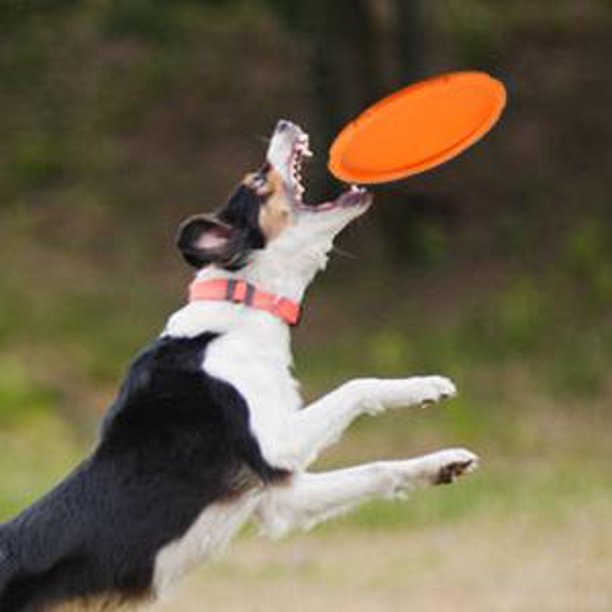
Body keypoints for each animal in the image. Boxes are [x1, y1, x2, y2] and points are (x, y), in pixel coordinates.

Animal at [0, 120, 478, 612]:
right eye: (258, 179)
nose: (285, 124)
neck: (244, 305)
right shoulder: (274, 446)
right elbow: (355, 386)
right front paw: (425, 388)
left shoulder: (281, 501)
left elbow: (378, 470)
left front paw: (443, 460)